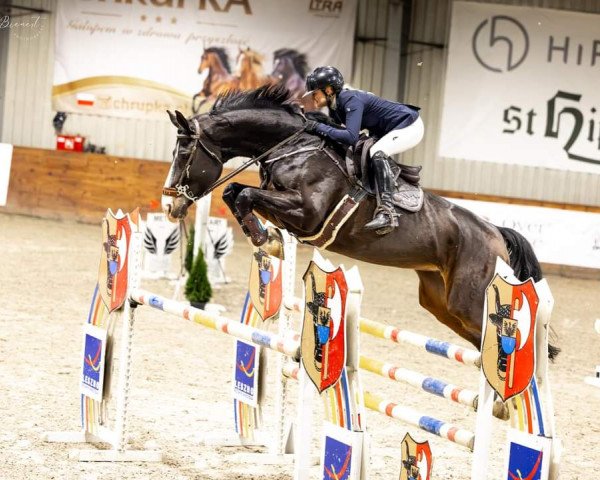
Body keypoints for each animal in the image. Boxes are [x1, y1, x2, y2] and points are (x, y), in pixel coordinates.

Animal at [162, 84, 560, 360]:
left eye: (184, 153)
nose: (170, 205)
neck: (292, 147)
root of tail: (495, 234)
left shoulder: (307, 215)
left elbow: (244, 195)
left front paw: (266, 240)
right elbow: (235, 194)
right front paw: (268, 239)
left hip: (470, 299)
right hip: (441, 303)